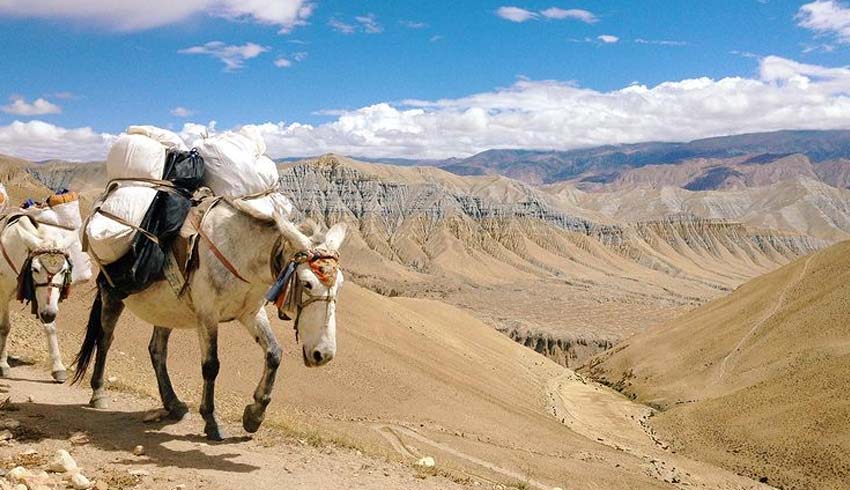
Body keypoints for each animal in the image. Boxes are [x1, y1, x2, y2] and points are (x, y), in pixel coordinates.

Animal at [0, 215, 75, 382]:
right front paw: (2, 364)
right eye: (34, 269)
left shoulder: (44, 302)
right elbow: (5, 327)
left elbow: (50, 327)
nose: (48, 314)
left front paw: (58, 368)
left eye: (64, 270)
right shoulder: (3, 294)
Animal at [72, 195, 344, 440]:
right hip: (113, 295)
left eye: (339, 284)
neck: (240, 253)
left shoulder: (250, 313)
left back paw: (173, 404)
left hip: (166, 310)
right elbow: (211, 366)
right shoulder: (207, 316)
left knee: (157, 350)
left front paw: (254, 416)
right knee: (105, 339)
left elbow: (274, 353)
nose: (323, 354)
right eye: (307, 283)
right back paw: (99, 393)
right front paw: (211, 421)